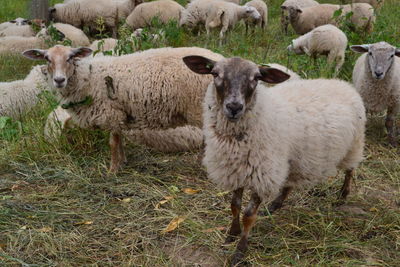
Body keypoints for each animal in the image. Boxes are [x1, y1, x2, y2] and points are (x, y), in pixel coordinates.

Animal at [23, 45, 225, 173]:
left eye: (70, 57)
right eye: (47, 58)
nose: (59, 80)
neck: (88, 77)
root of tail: (219, 61)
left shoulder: (110, 112)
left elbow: (112, 142)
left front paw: (112, 170)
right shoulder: (119, 112)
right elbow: (119, 140)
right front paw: (122, 162)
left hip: (200, 107)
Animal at [184, 55, 366, 266]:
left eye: (256, 78)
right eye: (215, 74)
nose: (234, 107)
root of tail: (343, 84)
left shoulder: (262, 172)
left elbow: (248, 215)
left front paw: (240, 251)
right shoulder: (237, 169)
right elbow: (234, 206)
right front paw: (231, 234)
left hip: (354, 143)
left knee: (350, 170)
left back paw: (343, 195)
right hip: (295, 159)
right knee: (290, 182)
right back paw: (275, 205)